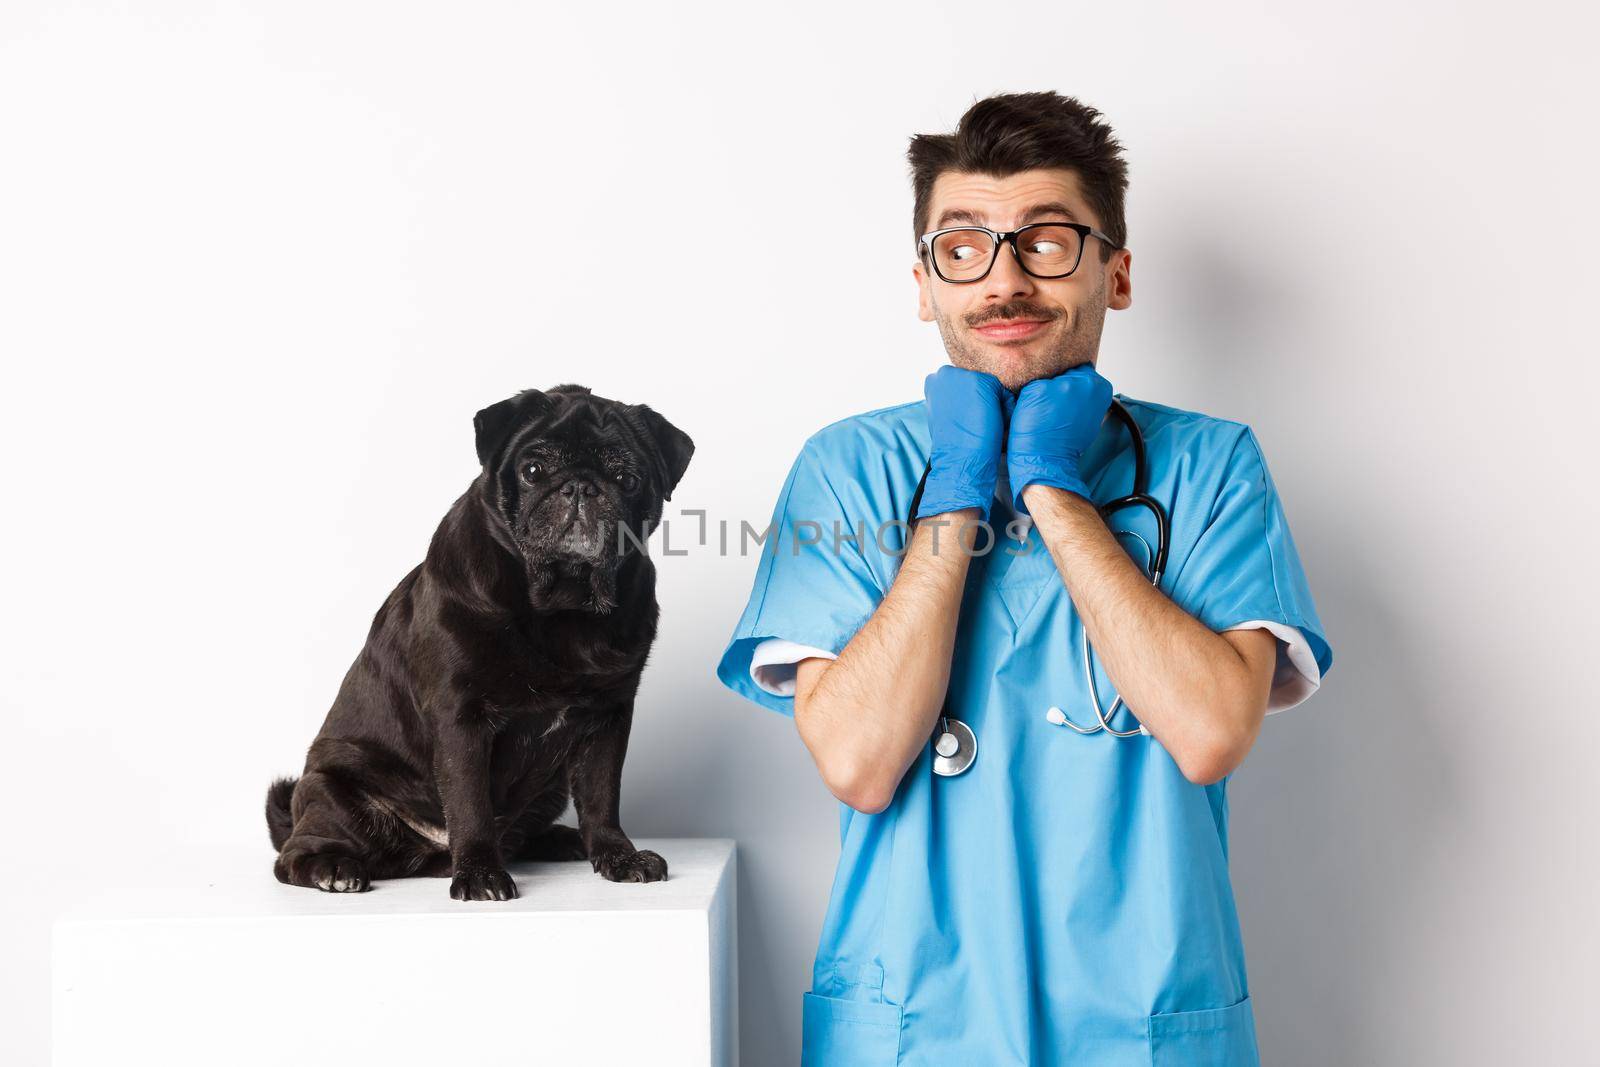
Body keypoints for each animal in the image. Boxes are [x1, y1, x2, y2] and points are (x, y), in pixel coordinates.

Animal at [265, 383, 691, 902]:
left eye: (626, 479)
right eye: (533, 471)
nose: (580, 486)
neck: (562, 603)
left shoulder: (607, 719)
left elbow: (602, 798)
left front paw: (618, 856)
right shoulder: (461, 718)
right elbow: (470, 803)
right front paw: (480, 873)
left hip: (550, 789)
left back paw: (560, 839)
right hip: (334, 795)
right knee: (294, 855)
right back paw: (334, 868)